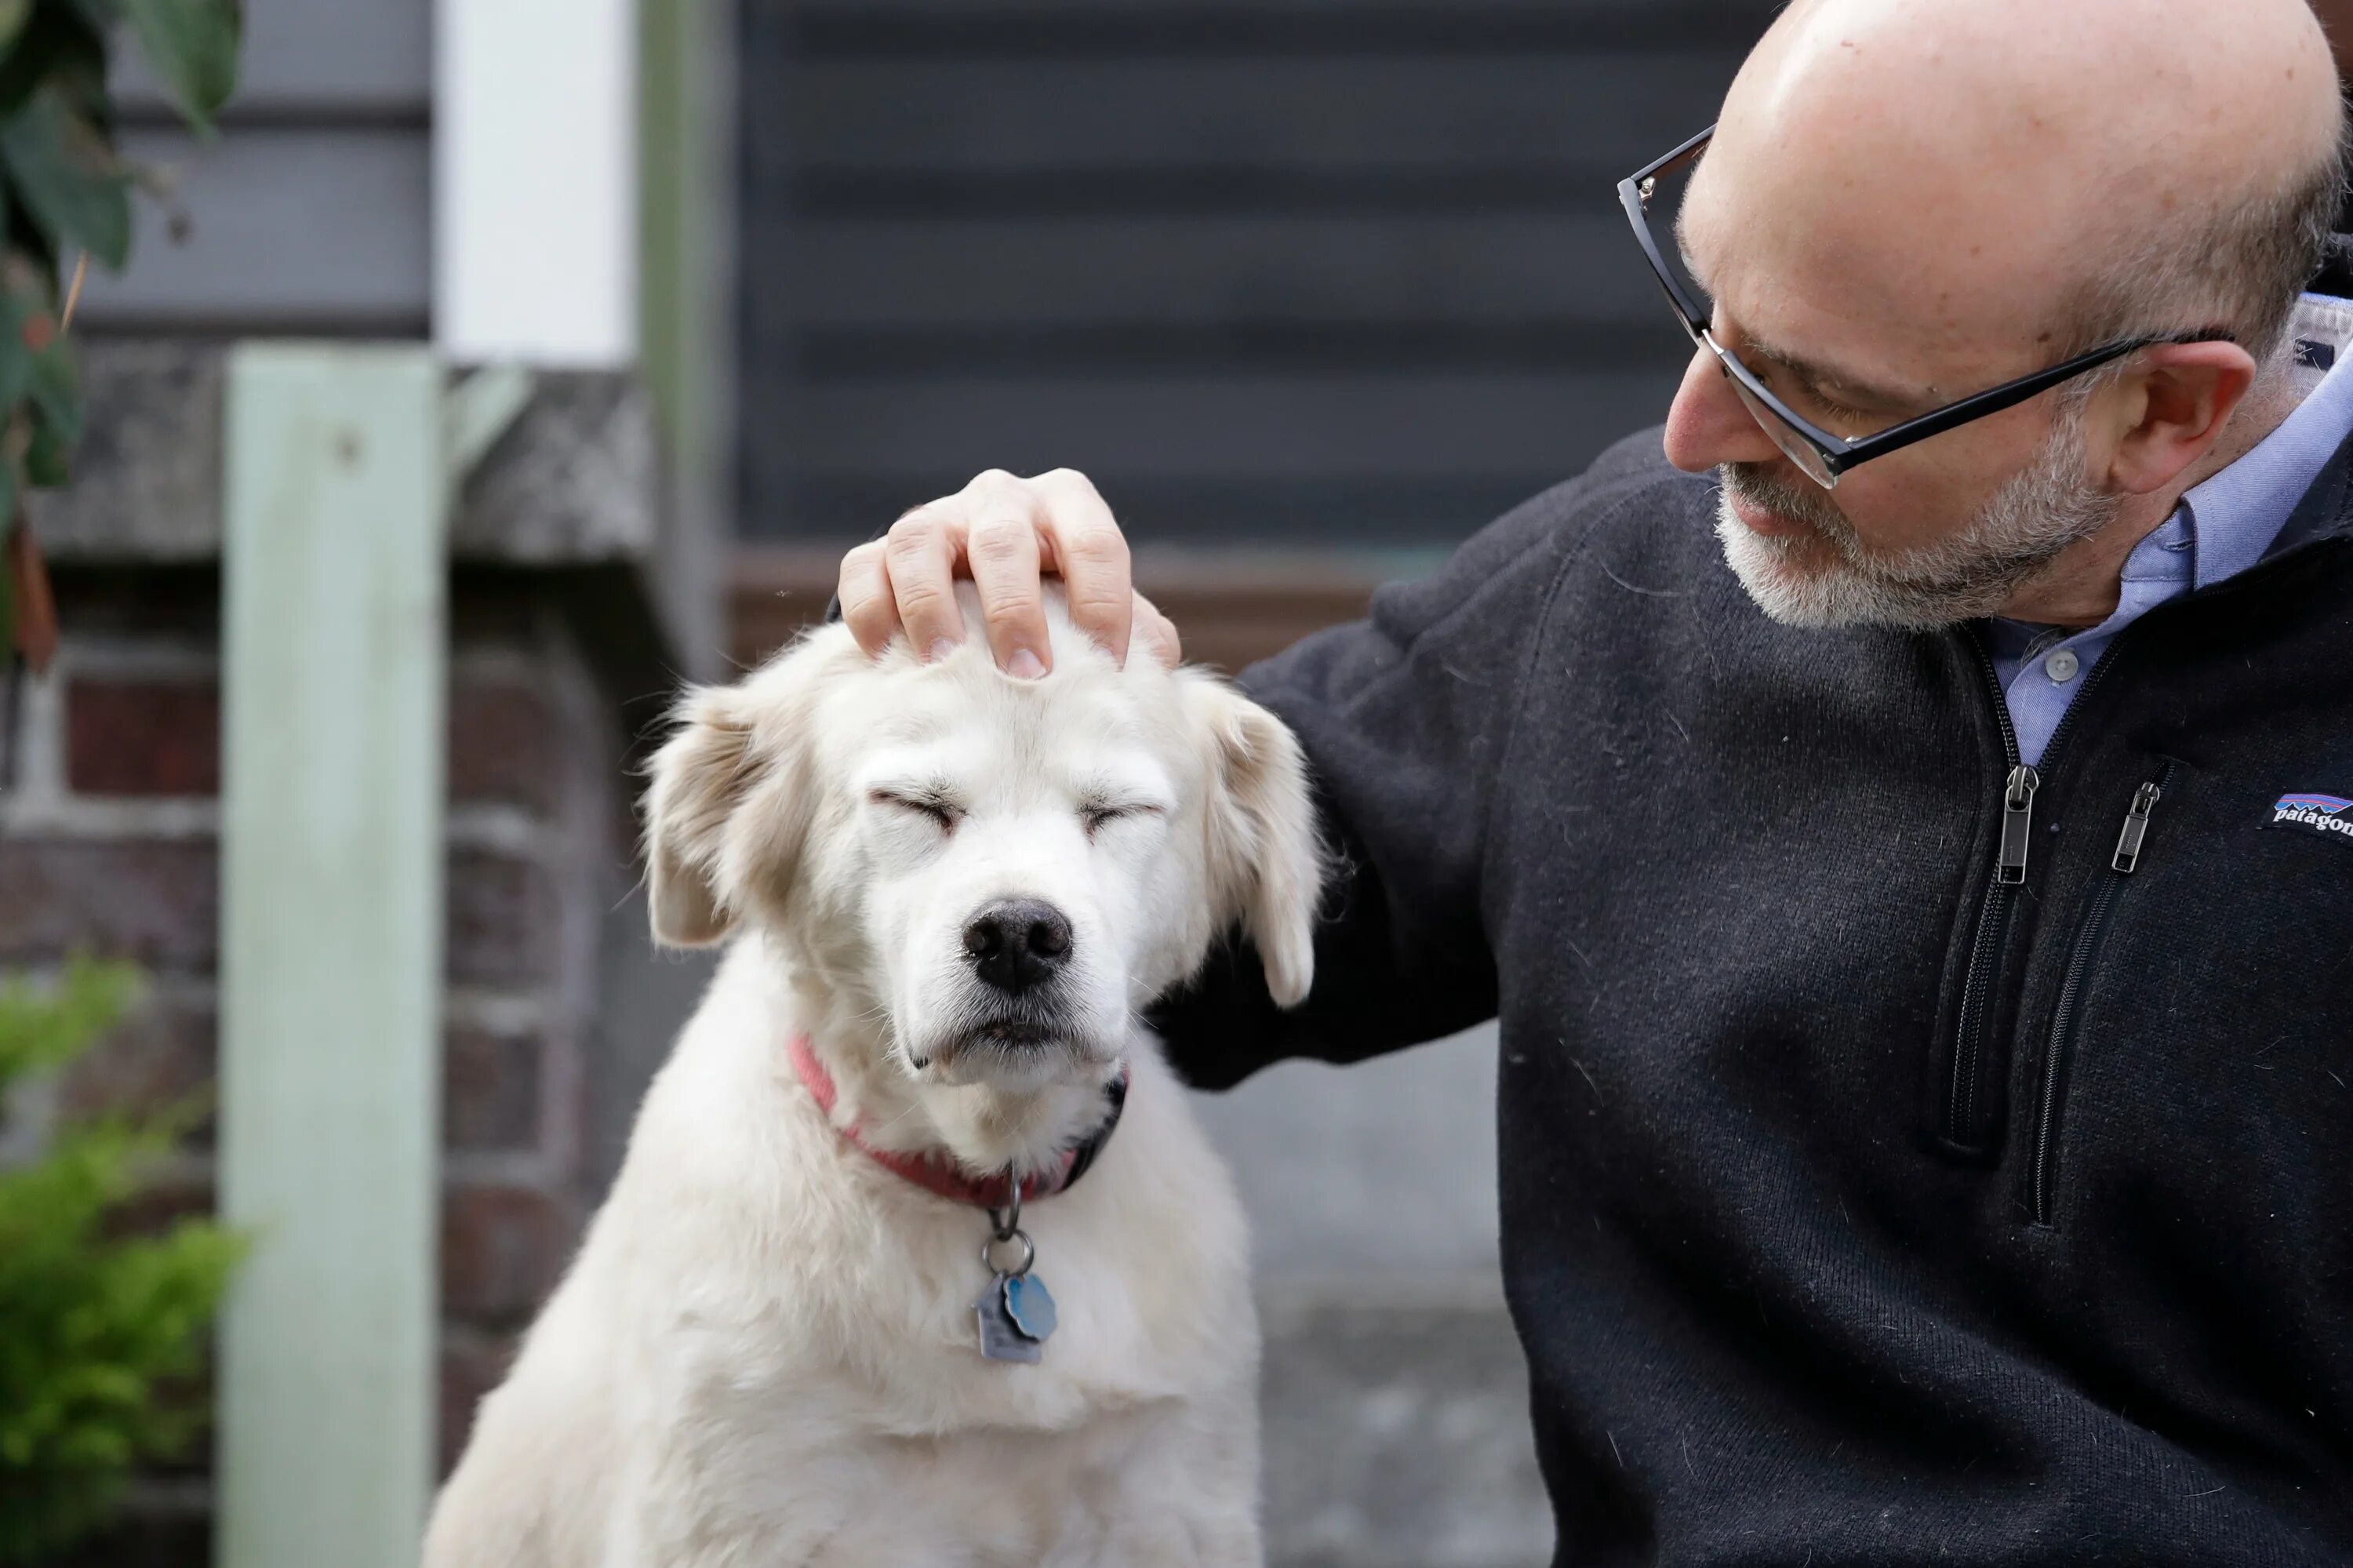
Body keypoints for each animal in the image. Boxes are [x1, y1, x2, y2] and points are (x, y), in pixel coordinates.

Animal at [414, 588, 1318, 1563]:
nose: (1018, 936)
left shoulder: (1172, 1498)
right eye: (916, 804)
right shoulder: (744, 1505)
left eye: (1115, 812)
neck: (982, 1178)